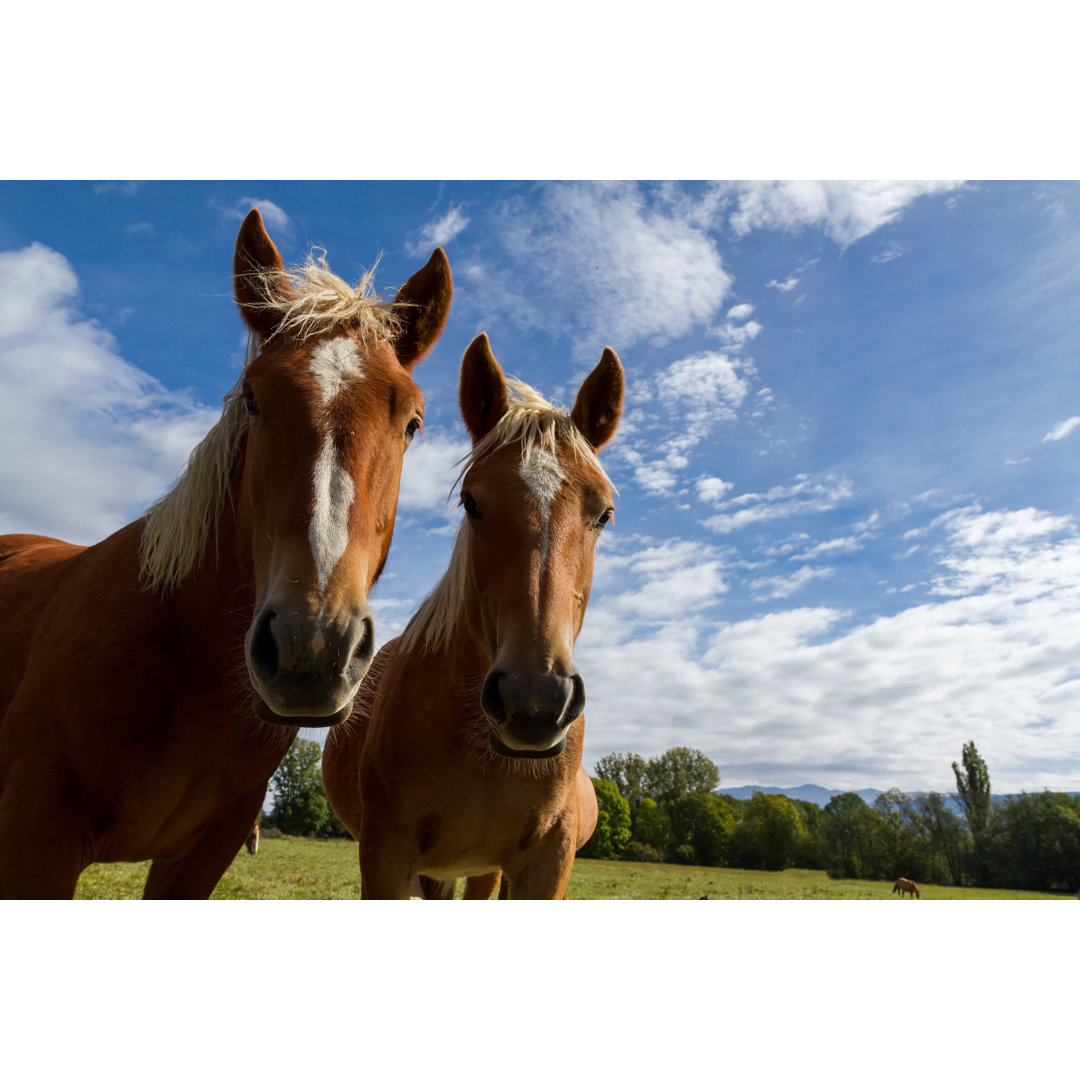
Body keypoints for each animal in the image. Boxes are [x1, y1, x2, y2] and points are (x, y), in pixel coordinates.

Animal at [0, 206, 453, 898]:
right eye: (252, 398)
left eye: (413, 423)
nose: (311, 648)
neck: (184, 660)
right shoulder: (34, 845)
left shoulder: (204, 855)